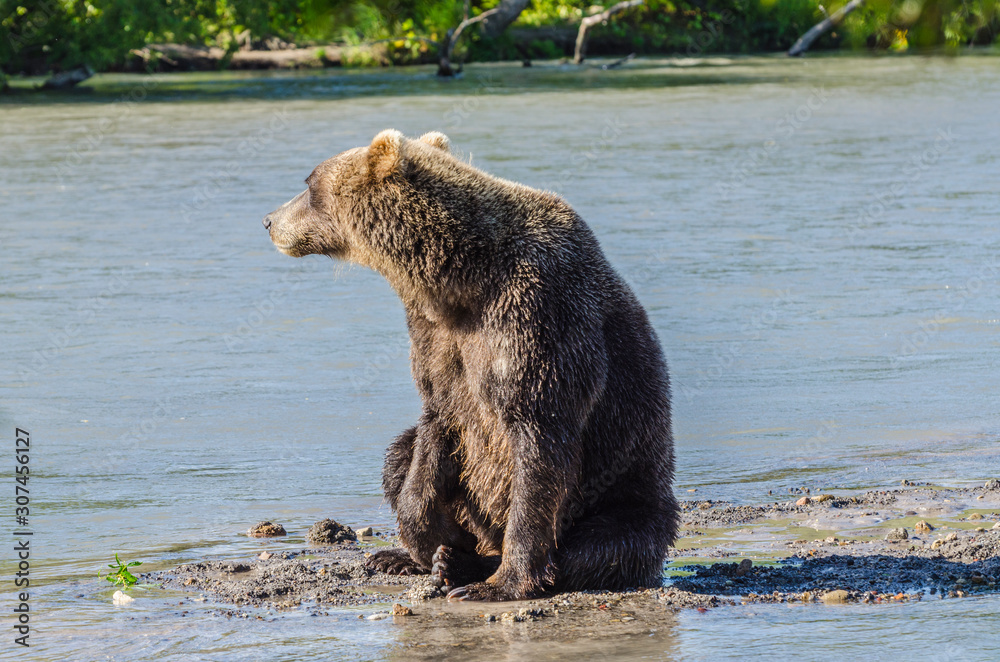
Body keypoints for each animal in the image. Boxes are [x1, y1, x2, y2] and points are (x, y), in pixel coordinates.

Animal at [263, 129, 678, 601]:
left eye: (308, 183)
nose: (269, 221)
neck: (459, 281)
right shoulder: (436, 339)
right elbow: (435, 426)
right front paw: (428, 541)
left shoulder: (537, 314)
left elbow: (537, 449)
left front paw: (501, 583)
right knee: (397, 453)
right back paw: (413, 558)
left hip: (630, 493)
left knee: (605, 544)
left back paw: (470, 567)